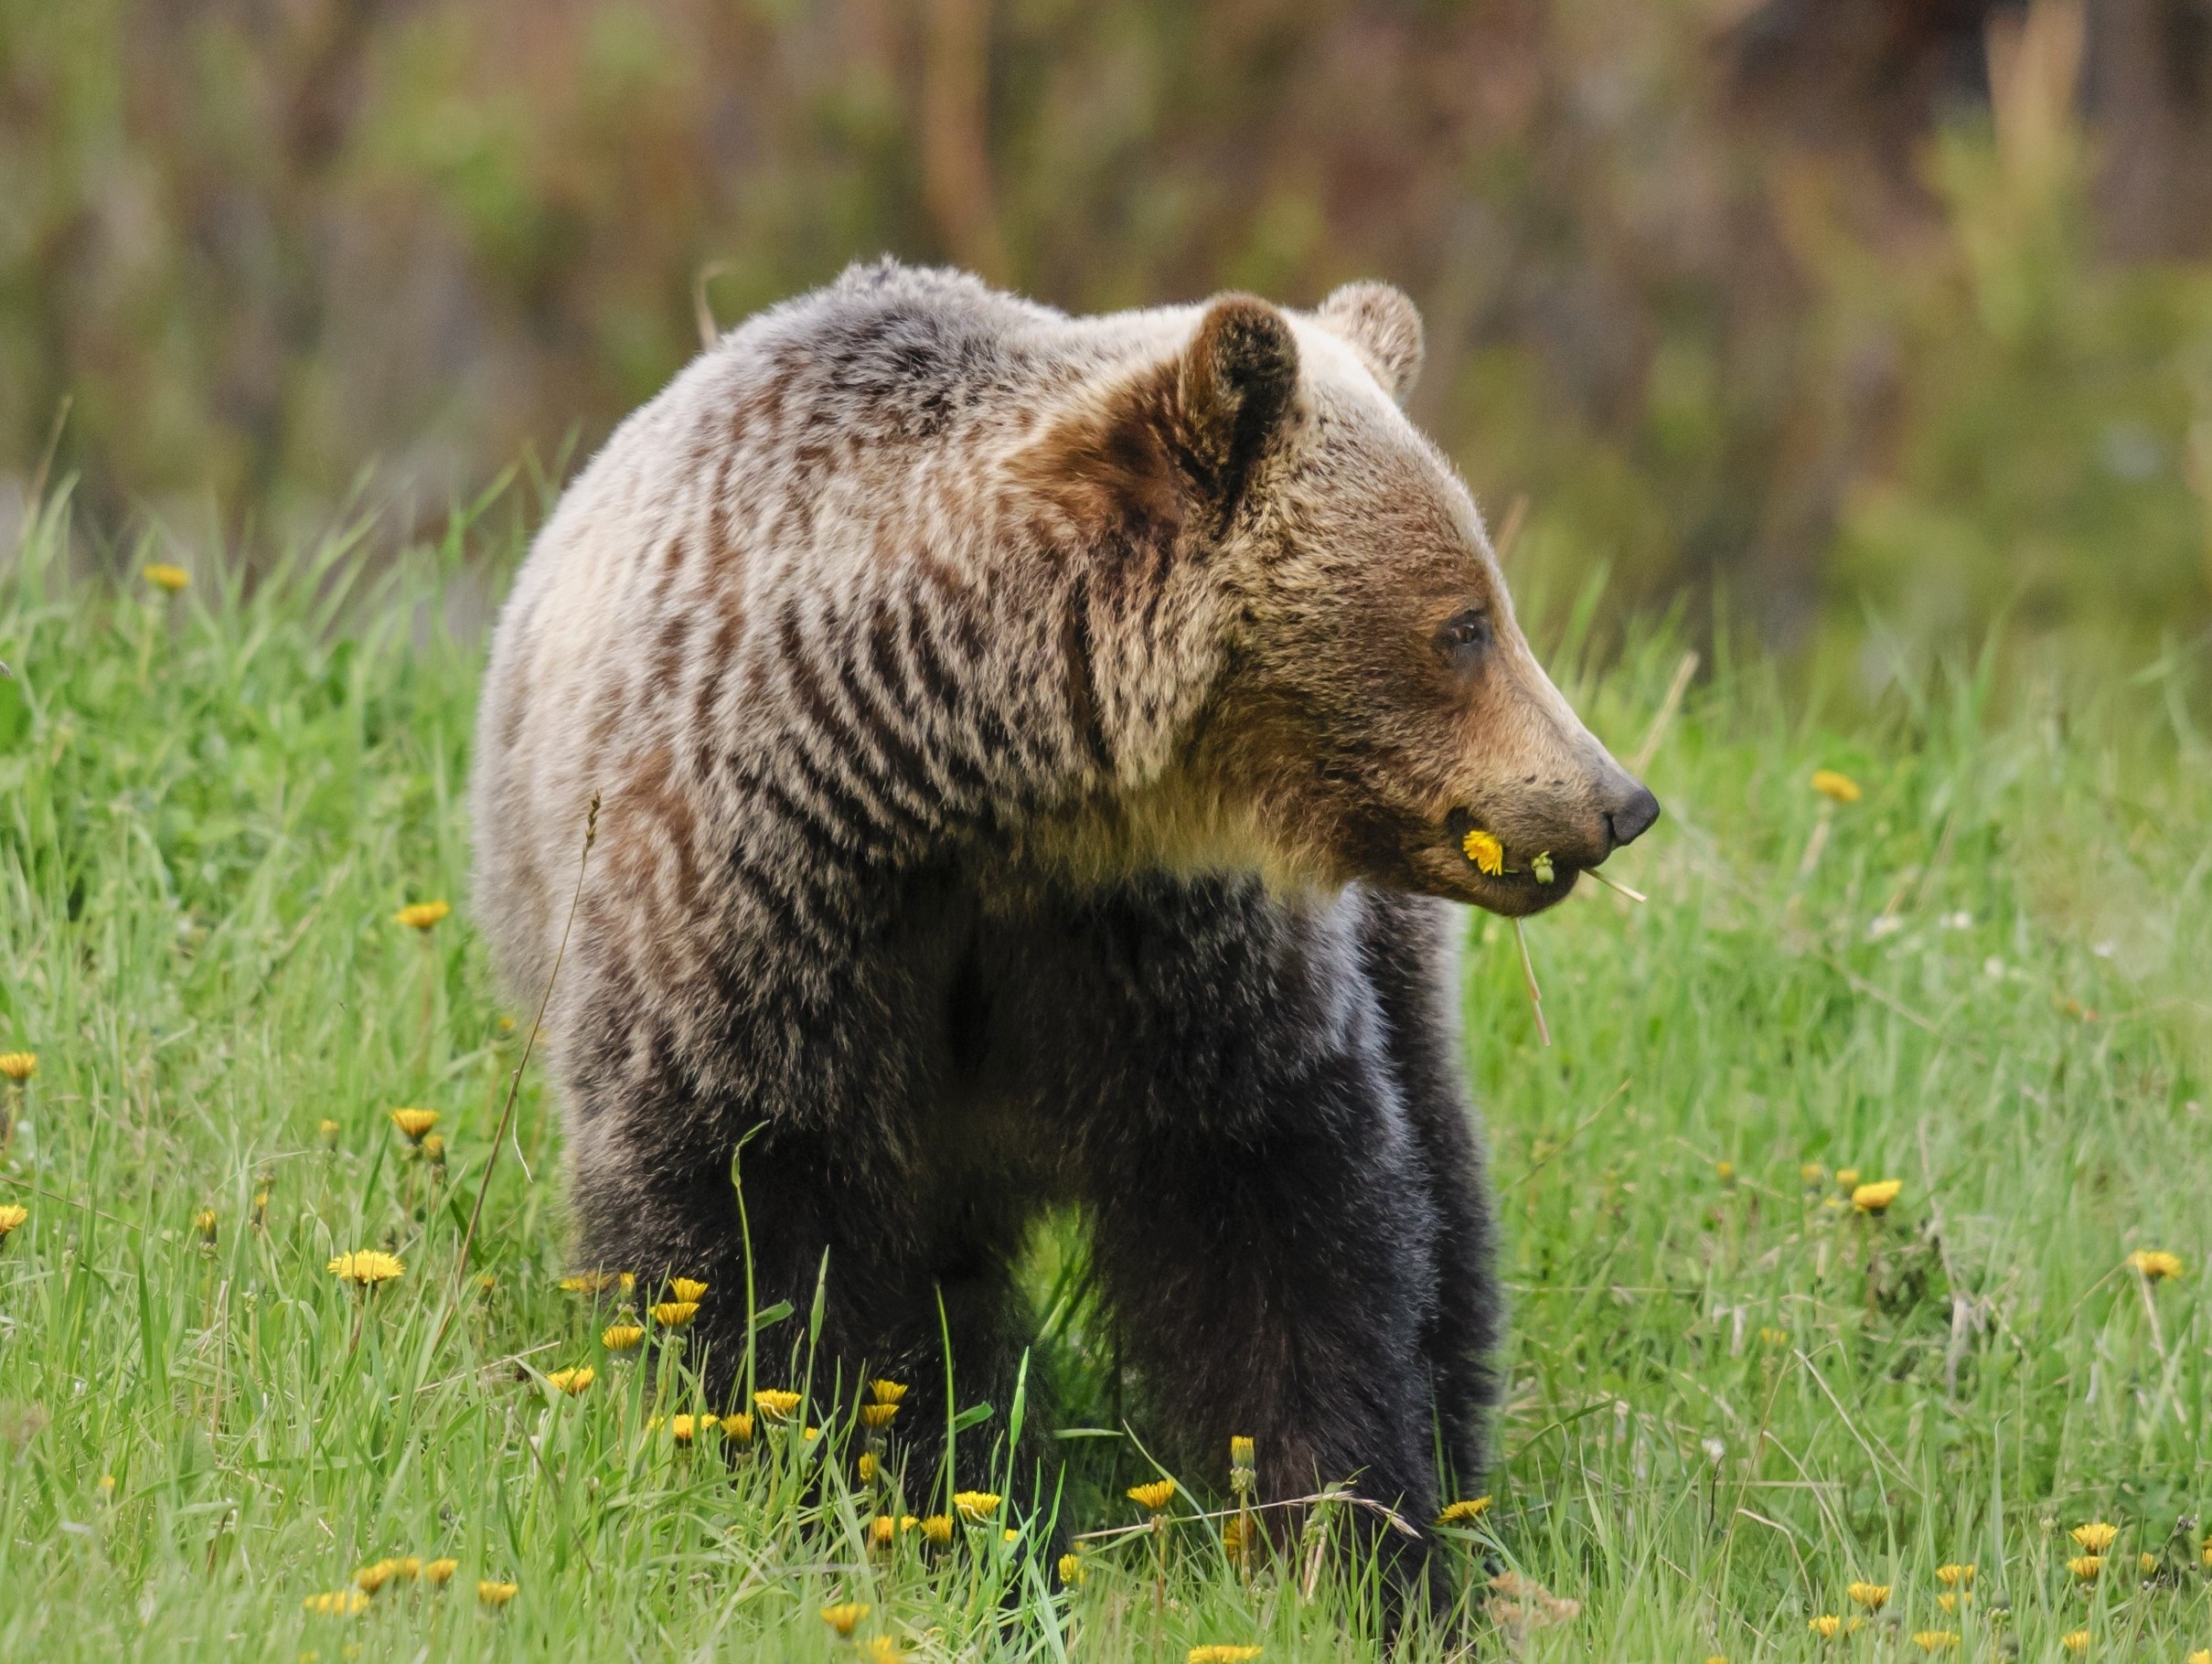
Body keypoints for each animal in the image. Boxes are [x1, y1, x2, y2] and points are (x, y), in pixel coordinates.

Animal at [470, 260, 1657, 1585]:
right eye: (1462, 624)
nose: (1616, 800)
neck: (968, 786)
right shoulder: (758, 904)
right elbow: (752, 1217)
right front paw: (851, 1490)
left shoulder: (1160, 948)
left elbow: (1281, 1215)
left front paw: (1353, 1544)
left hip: (1381, 944)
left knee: (1438, 1173)